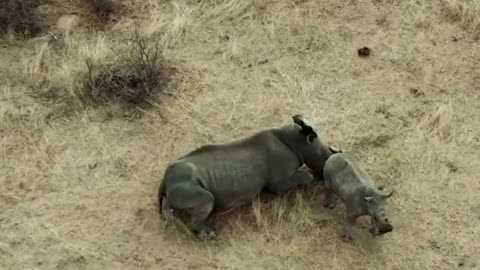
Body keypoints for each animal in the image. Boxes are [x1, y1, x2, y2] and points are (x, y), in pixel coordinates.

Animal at [158, 114, 338, 238]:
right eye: (325, 157)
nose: (325, 175)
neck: (297, 141)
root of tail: (164, 179)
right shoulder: (279, 182)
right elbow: (302, 177)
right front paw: (310, 176)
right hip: (183, 183)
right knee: (207, 199)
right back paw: (211, 234)